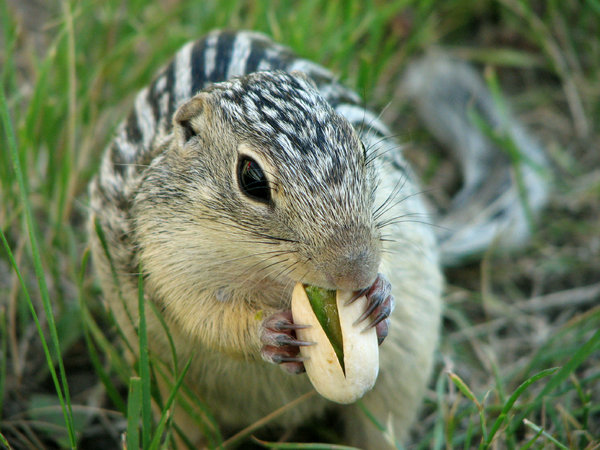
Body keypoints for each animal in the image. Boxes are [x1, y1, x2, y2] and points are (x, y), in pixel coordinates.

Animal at [88, 30, 548, 446]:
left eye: (360, 147)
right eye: (251, 178)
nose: (357, 272)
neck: (264, 269)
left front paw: (381, 295)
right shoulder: (165, 255)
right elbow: (204, 316)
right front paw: (268, 332)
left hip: (402, 375)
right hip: (173, 397)